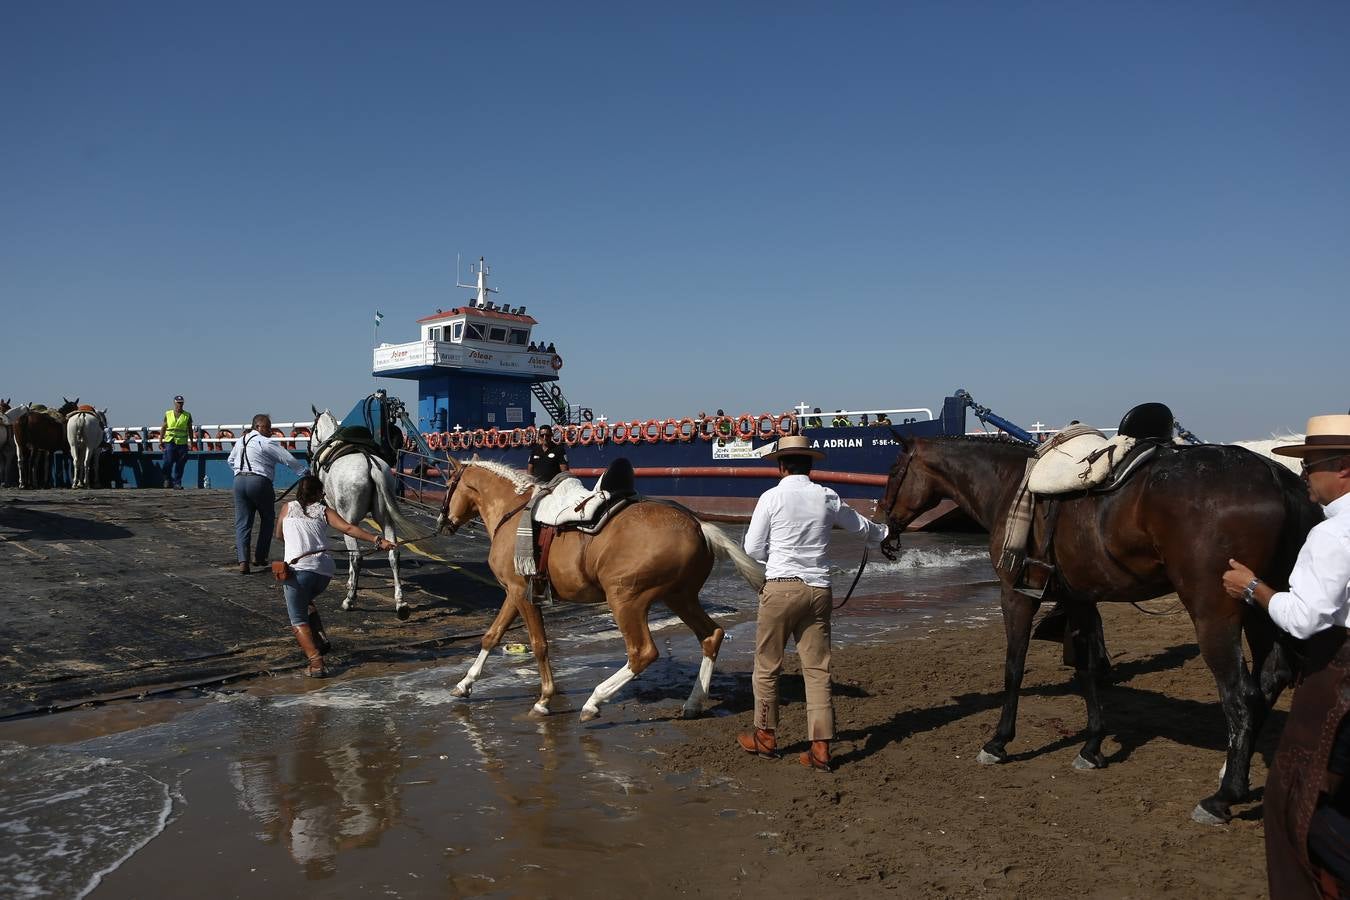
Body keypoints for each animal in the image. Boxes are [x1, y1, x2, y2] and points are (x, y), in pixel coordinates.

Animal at [310, 407, 415, 620]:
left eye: (312, 429)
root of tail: (371, 465)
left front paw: (350, 583)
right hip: (386, 518)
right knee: (393, 553)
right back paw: (400, 603)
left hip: (350, 519)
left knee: (357, 556)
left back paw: (350, 600)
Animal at [869, 404, 1323, 825]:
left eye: (892, 471)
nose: (882, 523)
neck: (1012, 485)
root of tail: (1277, 475)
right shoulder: (1080, 599)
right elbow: (1087, 668)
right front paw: (1091, 747)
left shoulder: (1015, 594)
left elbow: (1013, 667)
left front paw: (998, 742)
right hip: (1264, 607)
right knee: (1271, 678)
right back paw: (1231, 769)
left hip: (1216, 612)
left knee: (1241, 695)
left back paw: (1224, 795)